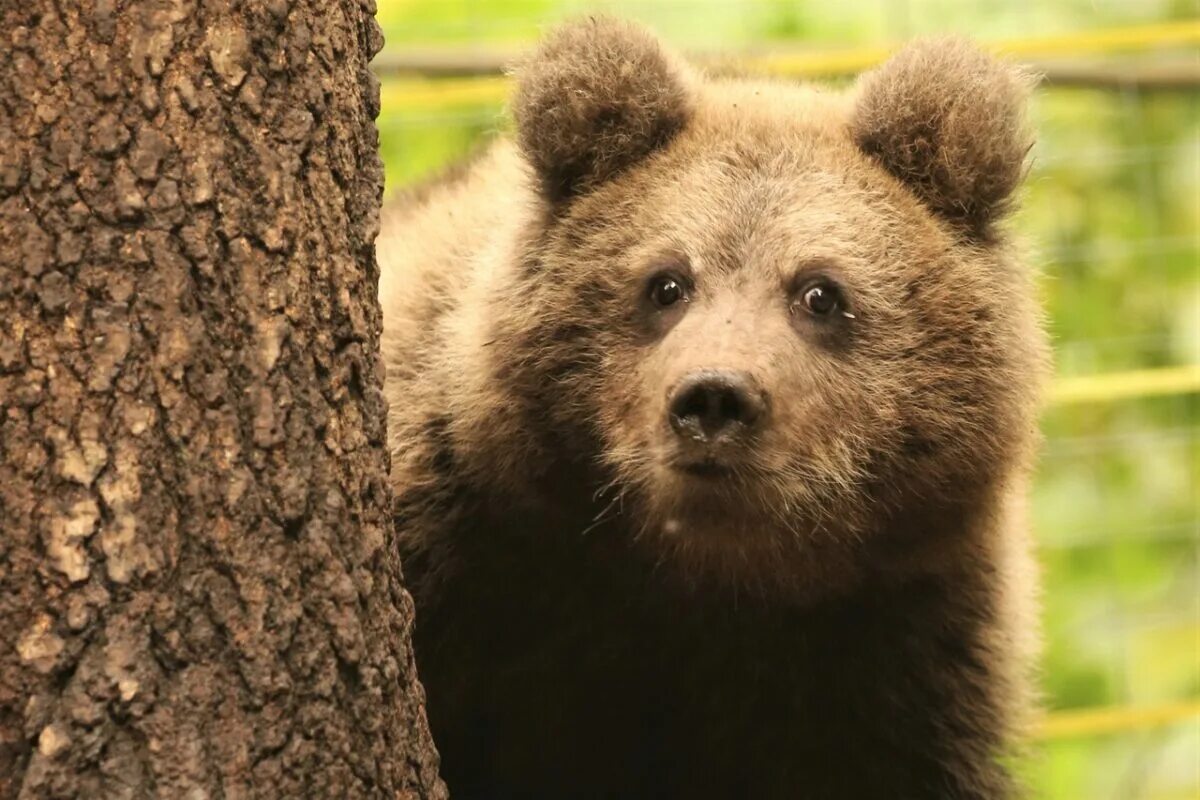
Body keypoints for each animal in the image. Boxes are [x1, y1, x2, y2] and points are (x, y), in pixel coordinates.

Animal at [379, 17, 1046, 800]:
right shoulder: (459, 552)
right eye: (667, 283)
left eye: (820, 292)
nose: (715, 397)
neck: (702, 580)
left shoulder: (901, 649)